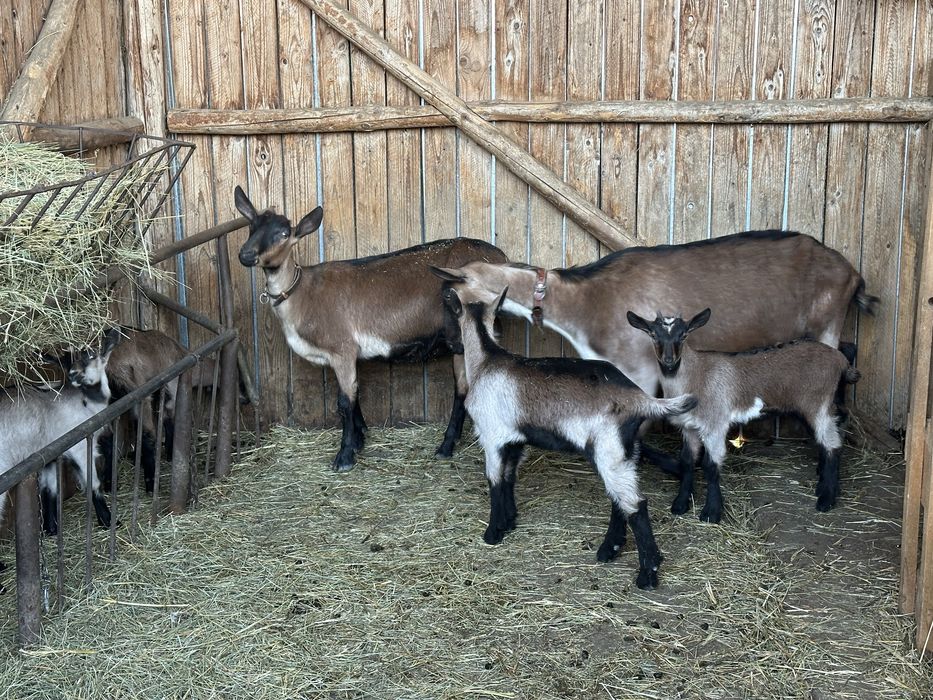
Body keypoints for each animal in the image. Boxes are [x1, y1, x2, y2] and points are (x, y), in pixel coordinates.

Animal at [1, 329, 119, 536]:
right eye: (66, 362)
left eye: (91, 355)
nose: (73, 374)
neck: (86, 403)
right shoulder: (81, 447)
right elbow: (93, 484)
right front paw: (108, 520)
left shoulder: (49, 456)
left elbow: (49, 490)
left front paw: (51, 528)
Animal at [234, 185, 509, 471]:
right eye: (251, 226)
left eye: (284, 233)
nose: (246, 255)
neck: (301, 293)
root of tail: (500, 258)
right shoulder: (347, 355)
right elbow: (354, 394)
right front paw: (360, 439)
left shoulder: (342, 348)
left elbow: (344, 401)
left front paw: (345, 456)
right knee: (463, 387)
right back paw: (447, 445)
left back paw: (450, 445)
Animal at [432, 230, 876, 471]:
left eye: (451, 299)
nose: (452, 344)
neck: (585, 302)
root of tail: (853, 273)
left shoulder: (641, 368)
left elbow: (643, 422)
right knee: (849, 352)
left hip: (826, 323)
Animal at [444, 286, 698, 589]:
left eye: (453, 319)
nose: (450, 345)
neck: (486, 361)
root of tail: (639, 398)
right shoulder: (515, 441)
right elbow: (508, 477)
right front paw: (510, 521)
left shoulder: (491, 436)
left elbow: (494, 480)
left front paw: (493, 533)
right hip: (626, 450)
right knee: (620, 499)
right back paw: (610, 549)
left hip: (609, 450)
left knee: (635, 504)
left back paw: (647, 573)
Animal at [627, 309, 861, 523]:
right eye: (653, 334)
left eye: (684, 335)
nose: (669, 361)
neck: (696, 374)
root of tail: (840, 360)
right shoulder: (689, 427)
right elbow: (687, 461)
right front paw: (681, 503)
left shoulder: (715, 424)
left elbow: (710, 466)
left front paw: (712, 512)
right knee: (828, 435)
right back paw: (824, 482)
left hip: (817, 401)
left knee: (832, 443)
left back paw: (826, 498)